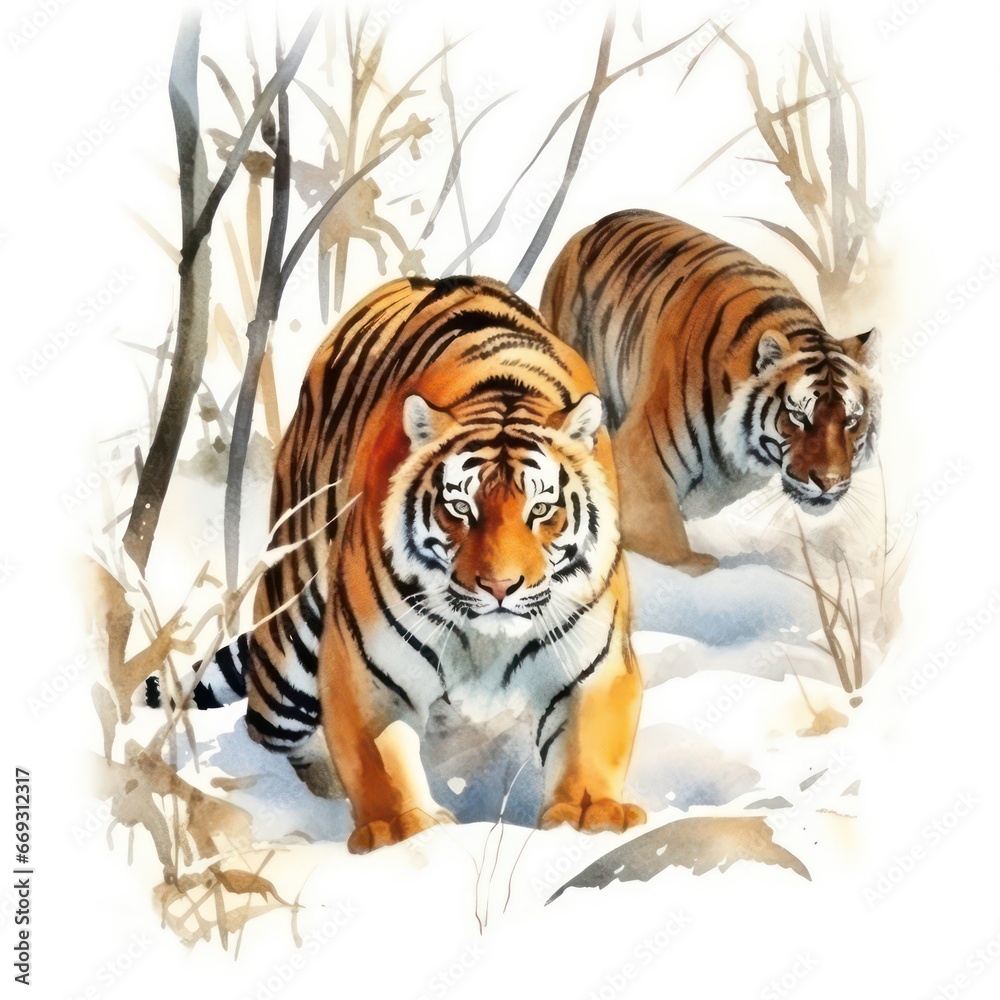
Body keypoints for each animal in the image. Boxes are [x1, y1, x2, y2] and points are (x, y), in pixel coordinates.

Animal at [147, 275, 644, 853]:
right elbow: (380, 762)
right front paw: (404, 833)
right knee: (267, 729)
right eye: (460, 507)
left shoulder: (592, 667)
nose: (500, 587)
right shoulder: (365, 670)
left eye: (541, 510)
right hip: (286, 662)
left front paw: (590, 821)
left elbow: (589, 750)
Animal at [540, 209, 880, 575]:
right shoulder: (637, 466)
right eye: (798, 416)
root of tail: (592, 225)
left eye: (851, 421)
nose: (829, 482)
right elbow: (673, 551)